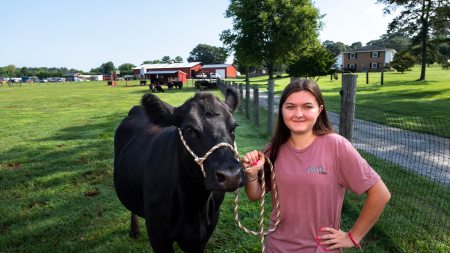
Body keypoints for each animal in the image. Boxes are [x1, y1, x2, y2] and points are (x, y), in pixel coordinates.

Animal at [114, 88, 244, 252]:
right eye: (189, 129)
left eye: (234, 127)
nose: (230, 175)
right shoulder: (157, 235)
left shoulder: (204, 234)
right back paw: (134, 230)